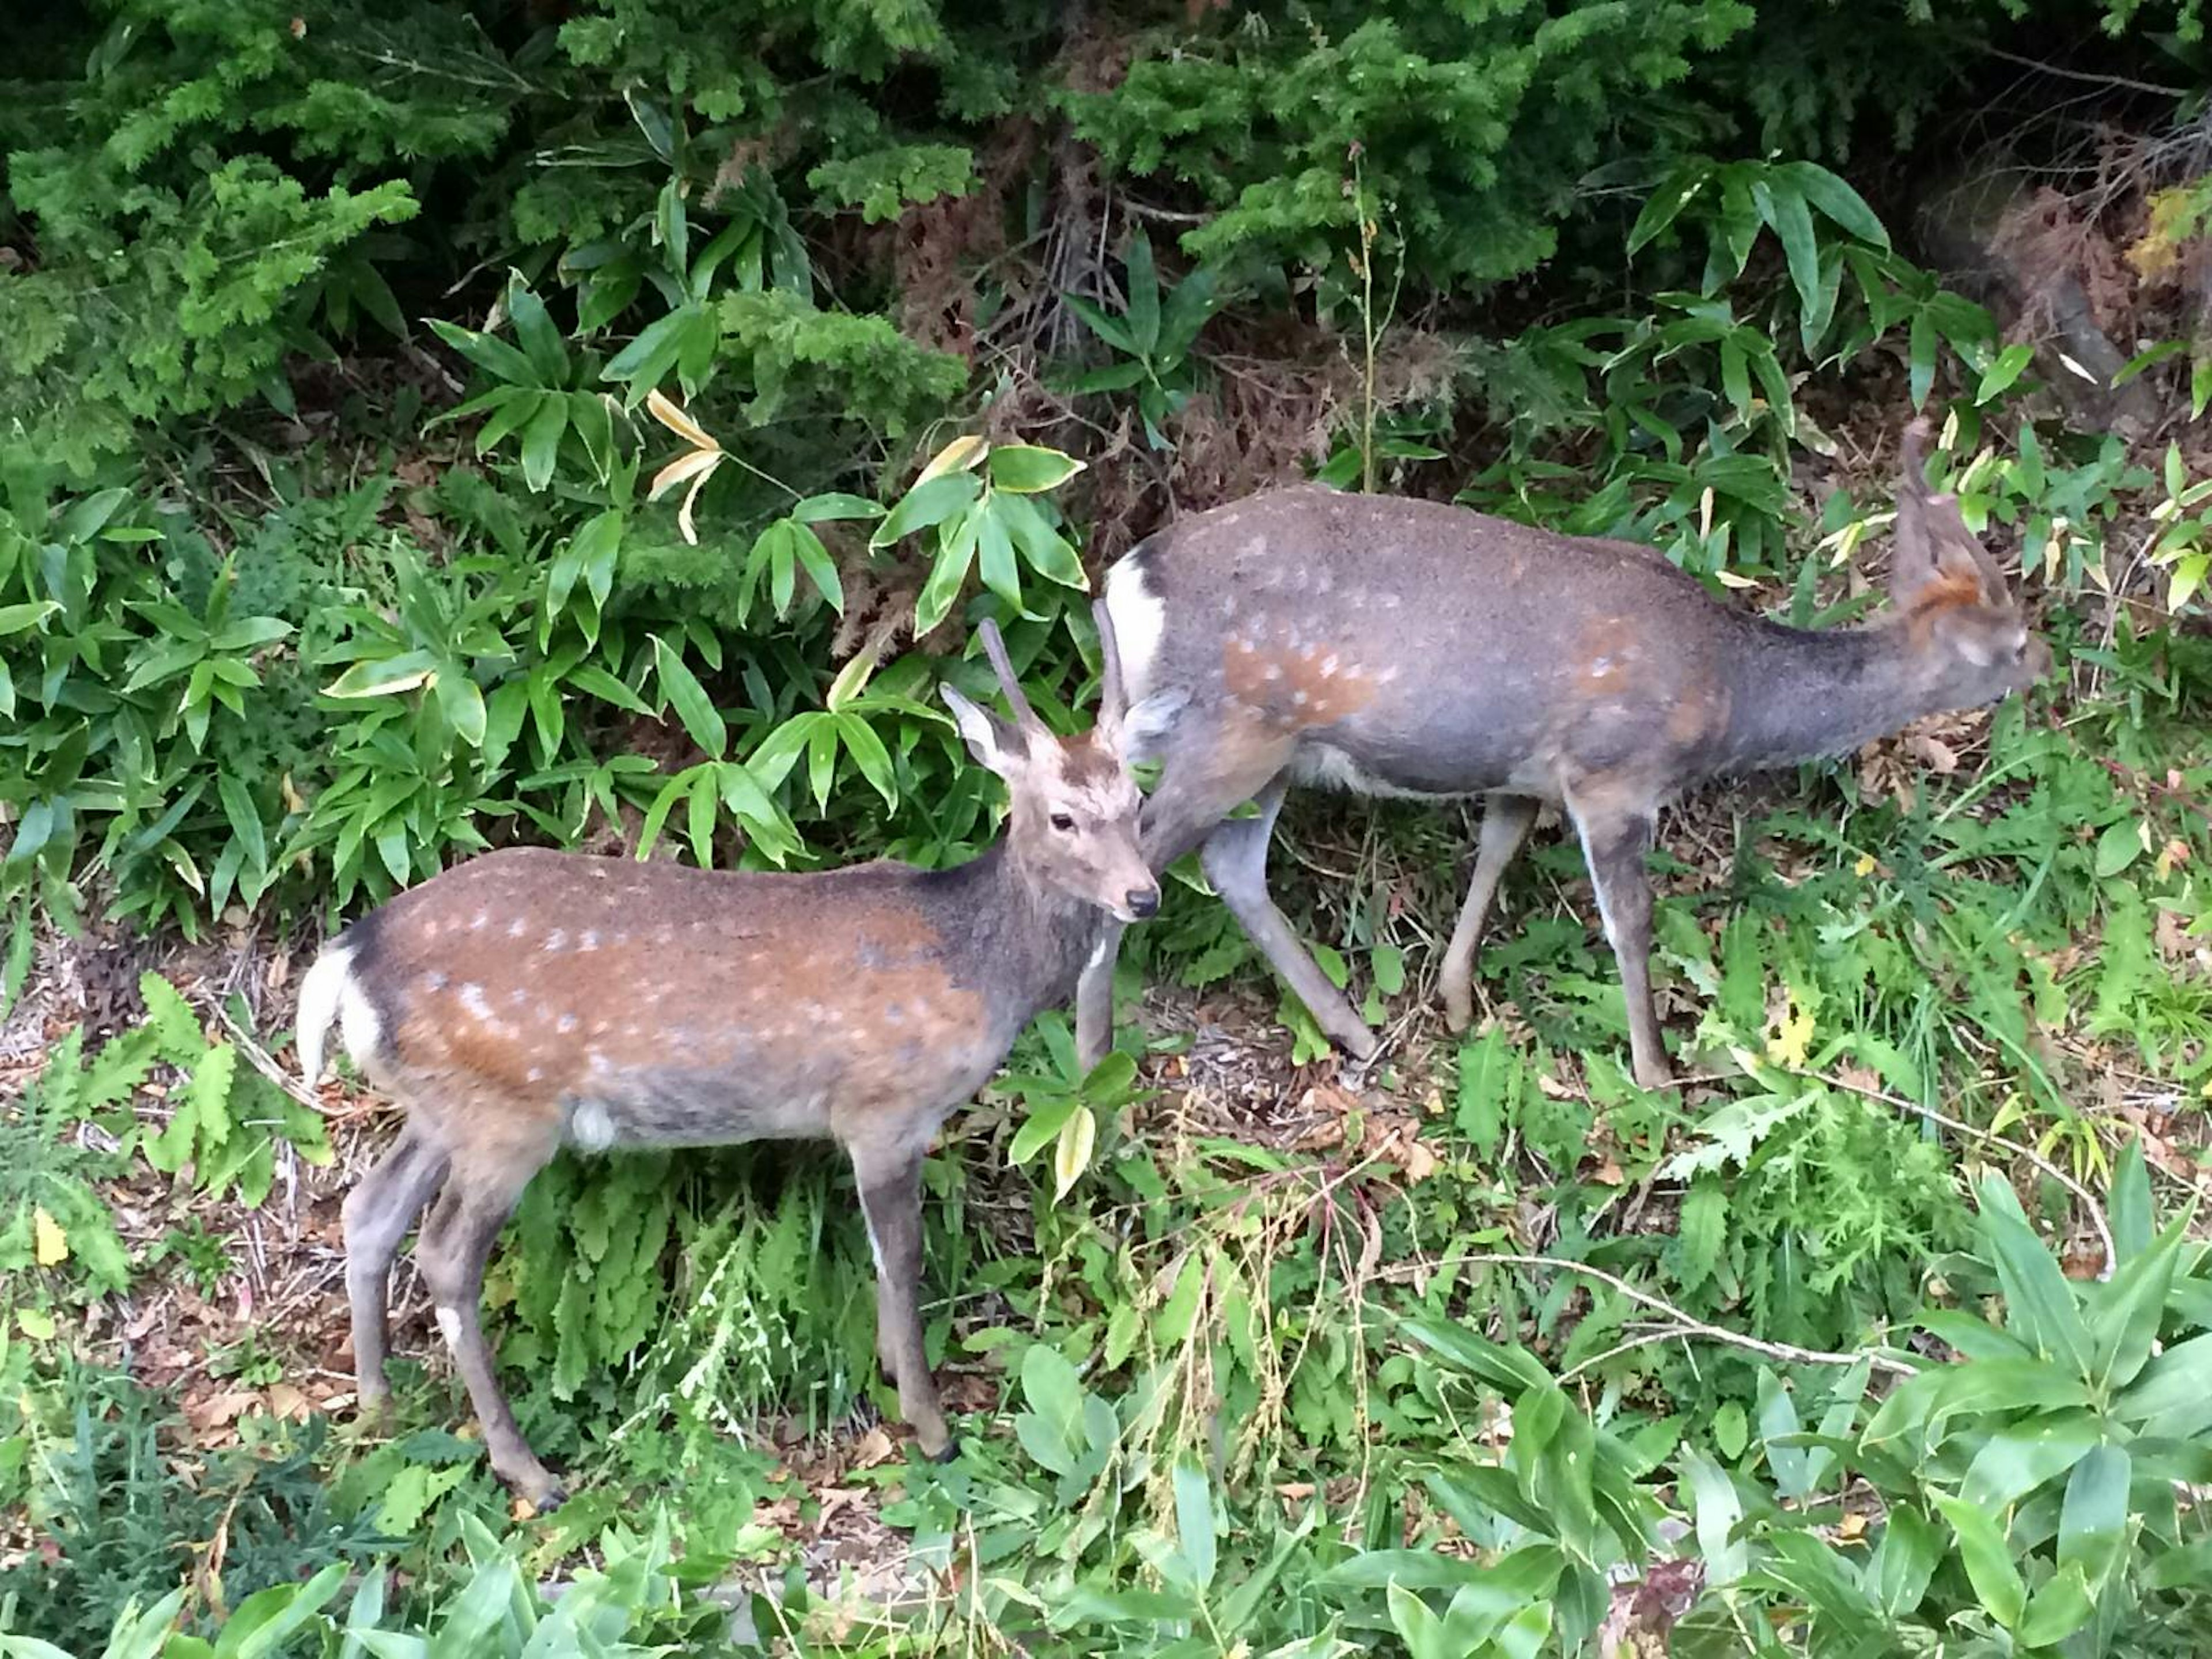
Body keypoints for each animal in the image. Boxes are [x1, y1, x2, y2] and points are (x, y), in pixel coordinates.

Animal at [303, 610, 1185, 1504]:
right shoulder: (883, 1108)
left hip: (443, 1103)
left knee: (370, 1211)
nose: (1143, 896)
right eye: (1063, 818)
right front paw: (930, 1427)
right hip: (506, 1110)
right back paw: (527, 1470)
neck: (977, 967)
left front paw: (892, 1375)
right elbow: (902, 1258)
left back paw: (377, 1405)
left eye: (1136, 800)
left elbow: (883, 1259)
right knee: (446, 1255)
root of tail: (349, 956)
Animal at [1079, 415, 2044, 1092]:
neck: (1727, 691)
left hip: (1271, 748)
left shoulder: (1526, 771)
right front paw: (1657, 1072)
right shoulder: (1614, 772)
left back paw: (1352, 1029)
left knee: (1233, 869)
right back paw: (1092, 1060)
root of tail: (1122, 587)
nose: (2044, 671)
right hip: (1231, 731)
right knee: (1127, 872)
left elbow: (1497, 849)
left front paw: (1455, 1001)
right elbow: (1632, 921)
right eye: (2013, 638)